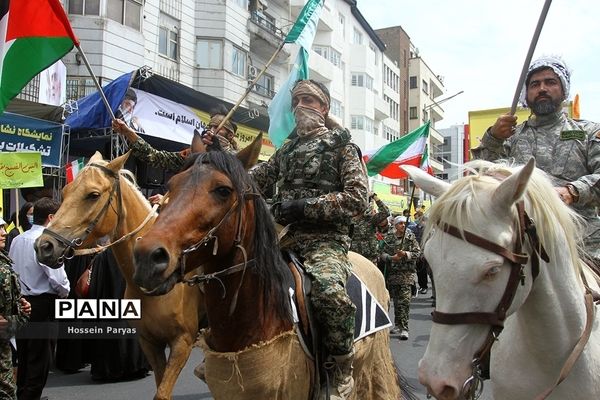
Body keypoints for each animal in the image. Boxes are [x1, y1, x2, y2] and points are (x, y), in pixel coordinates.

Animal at [35, 152, 204, 400]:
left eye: (93, 195)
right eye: (65, 192)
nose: (44, 246)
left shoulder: (183, 341)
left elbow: (162, 393)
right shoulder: (149, 341)